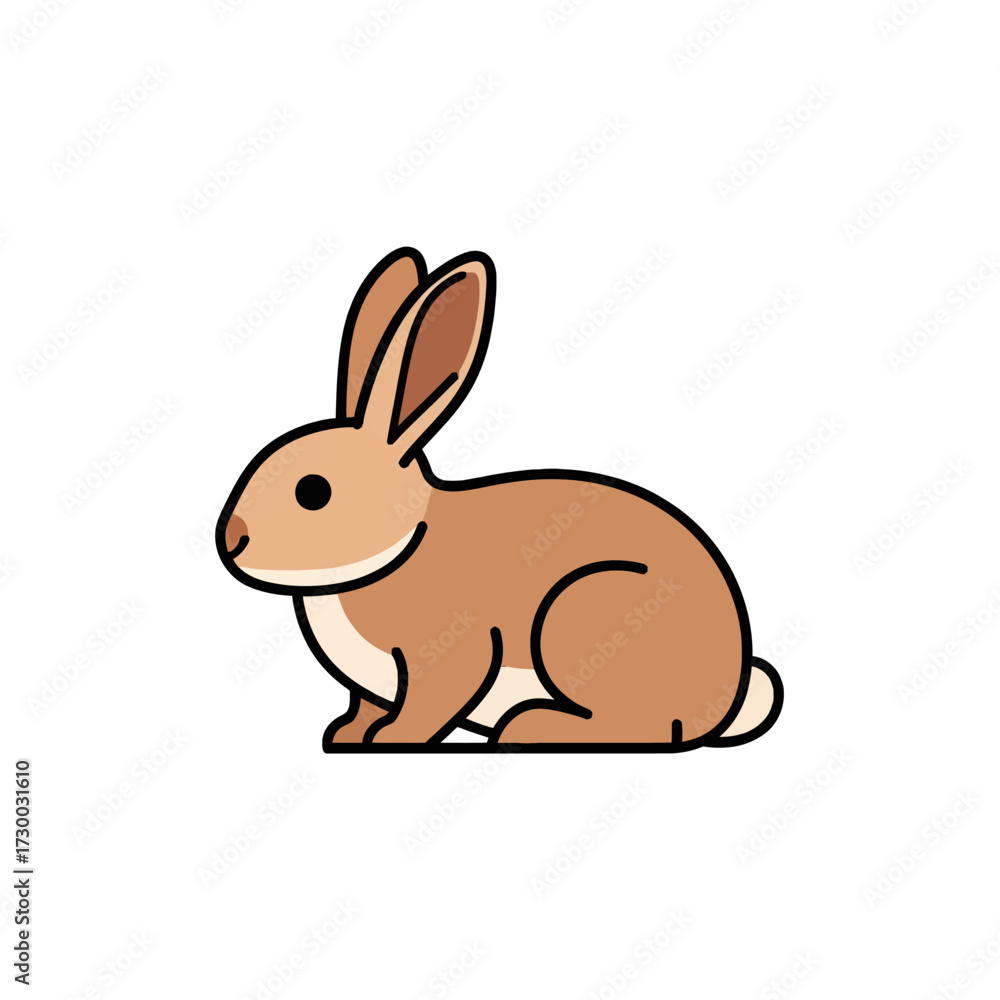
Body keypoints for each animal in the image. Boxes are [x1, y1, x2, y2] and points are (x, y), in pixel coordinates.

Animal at [216, 247, 783, 750]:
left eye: (313, 491)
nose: (232, 541)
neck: (403, 543)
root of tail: (727, 694)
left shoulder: (450, 653)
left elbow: (431, 703)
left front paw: (390, 740)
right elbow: (367, 704)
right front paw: (347, 735)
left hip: (583, 612)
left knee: (641, 727)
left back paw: (530, 726)